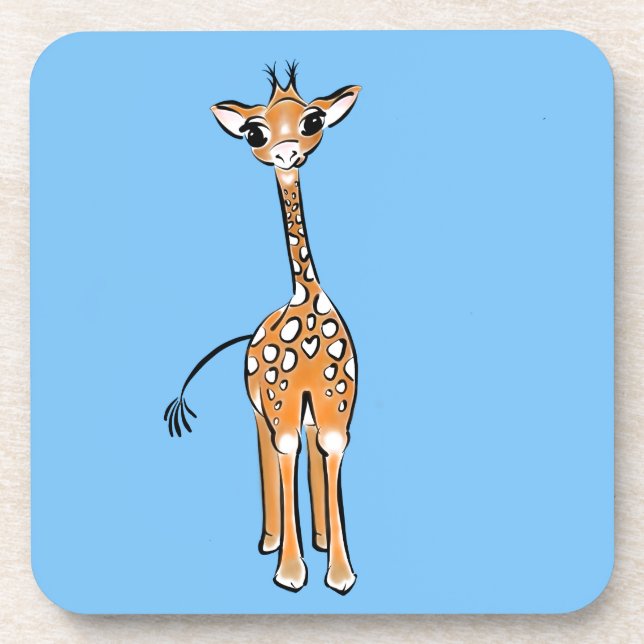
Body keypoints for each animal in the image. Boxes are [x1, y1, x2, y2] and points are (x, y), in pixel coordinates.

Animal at [165, 63, 360, 595]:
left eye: (313, 121)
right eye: (255, 132)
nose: (287, 153)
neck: (306, 301)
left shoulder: (336, 406)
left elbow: (329, 454)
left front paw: (339, 573)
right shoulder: (279, 404)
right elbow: (284, 454)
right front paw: (291, 573)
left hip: (306, 409)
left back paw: (319, 540)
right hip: (260, 407)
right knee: (269, 453)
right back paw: (271, 541)